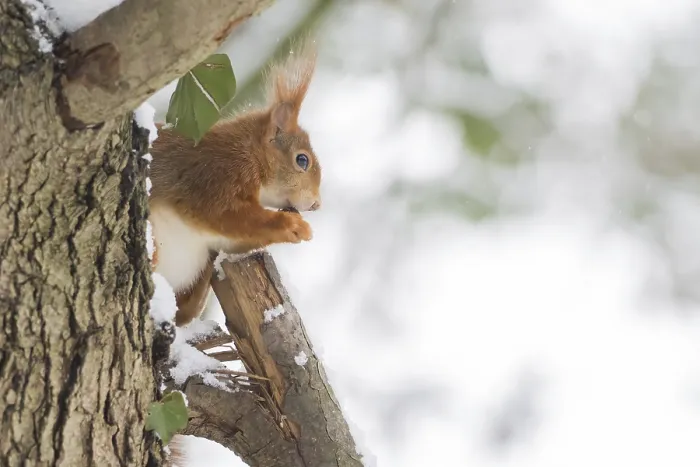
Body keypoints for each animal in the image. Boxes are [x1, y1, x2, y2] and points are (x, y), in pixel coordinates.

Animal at [148, 41, 322, 327]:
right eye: (302, 160)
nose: (317, 204)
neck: (248, 152)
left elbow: (235, 240)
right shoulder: (213, 178)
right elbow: (229, 215)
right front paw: (292, 225)